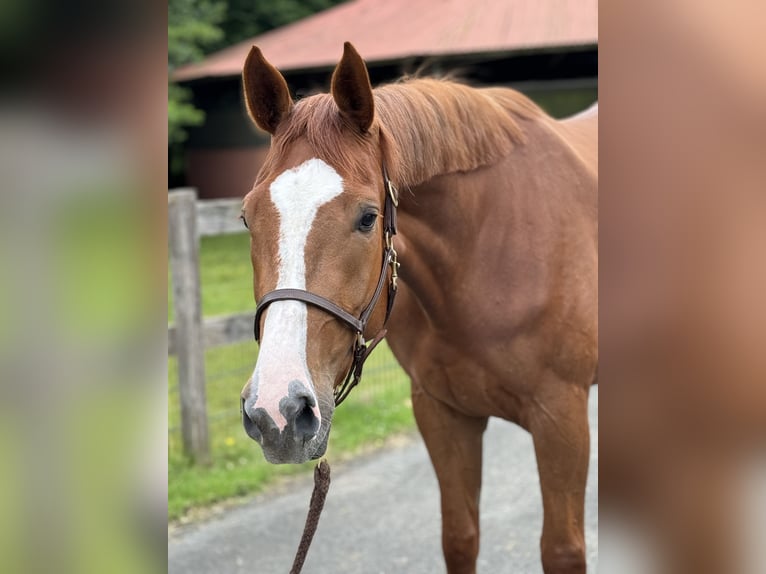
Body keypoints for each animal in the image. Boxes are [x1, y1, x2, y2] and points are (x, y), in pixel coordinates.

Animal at [240, 42, 600, 572]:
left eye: (368, 218)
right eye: (247, 216)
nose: (277, 411)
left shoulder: (561, 418)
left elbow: (562, 550)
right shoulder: (440, 412)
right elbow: (460, 538)